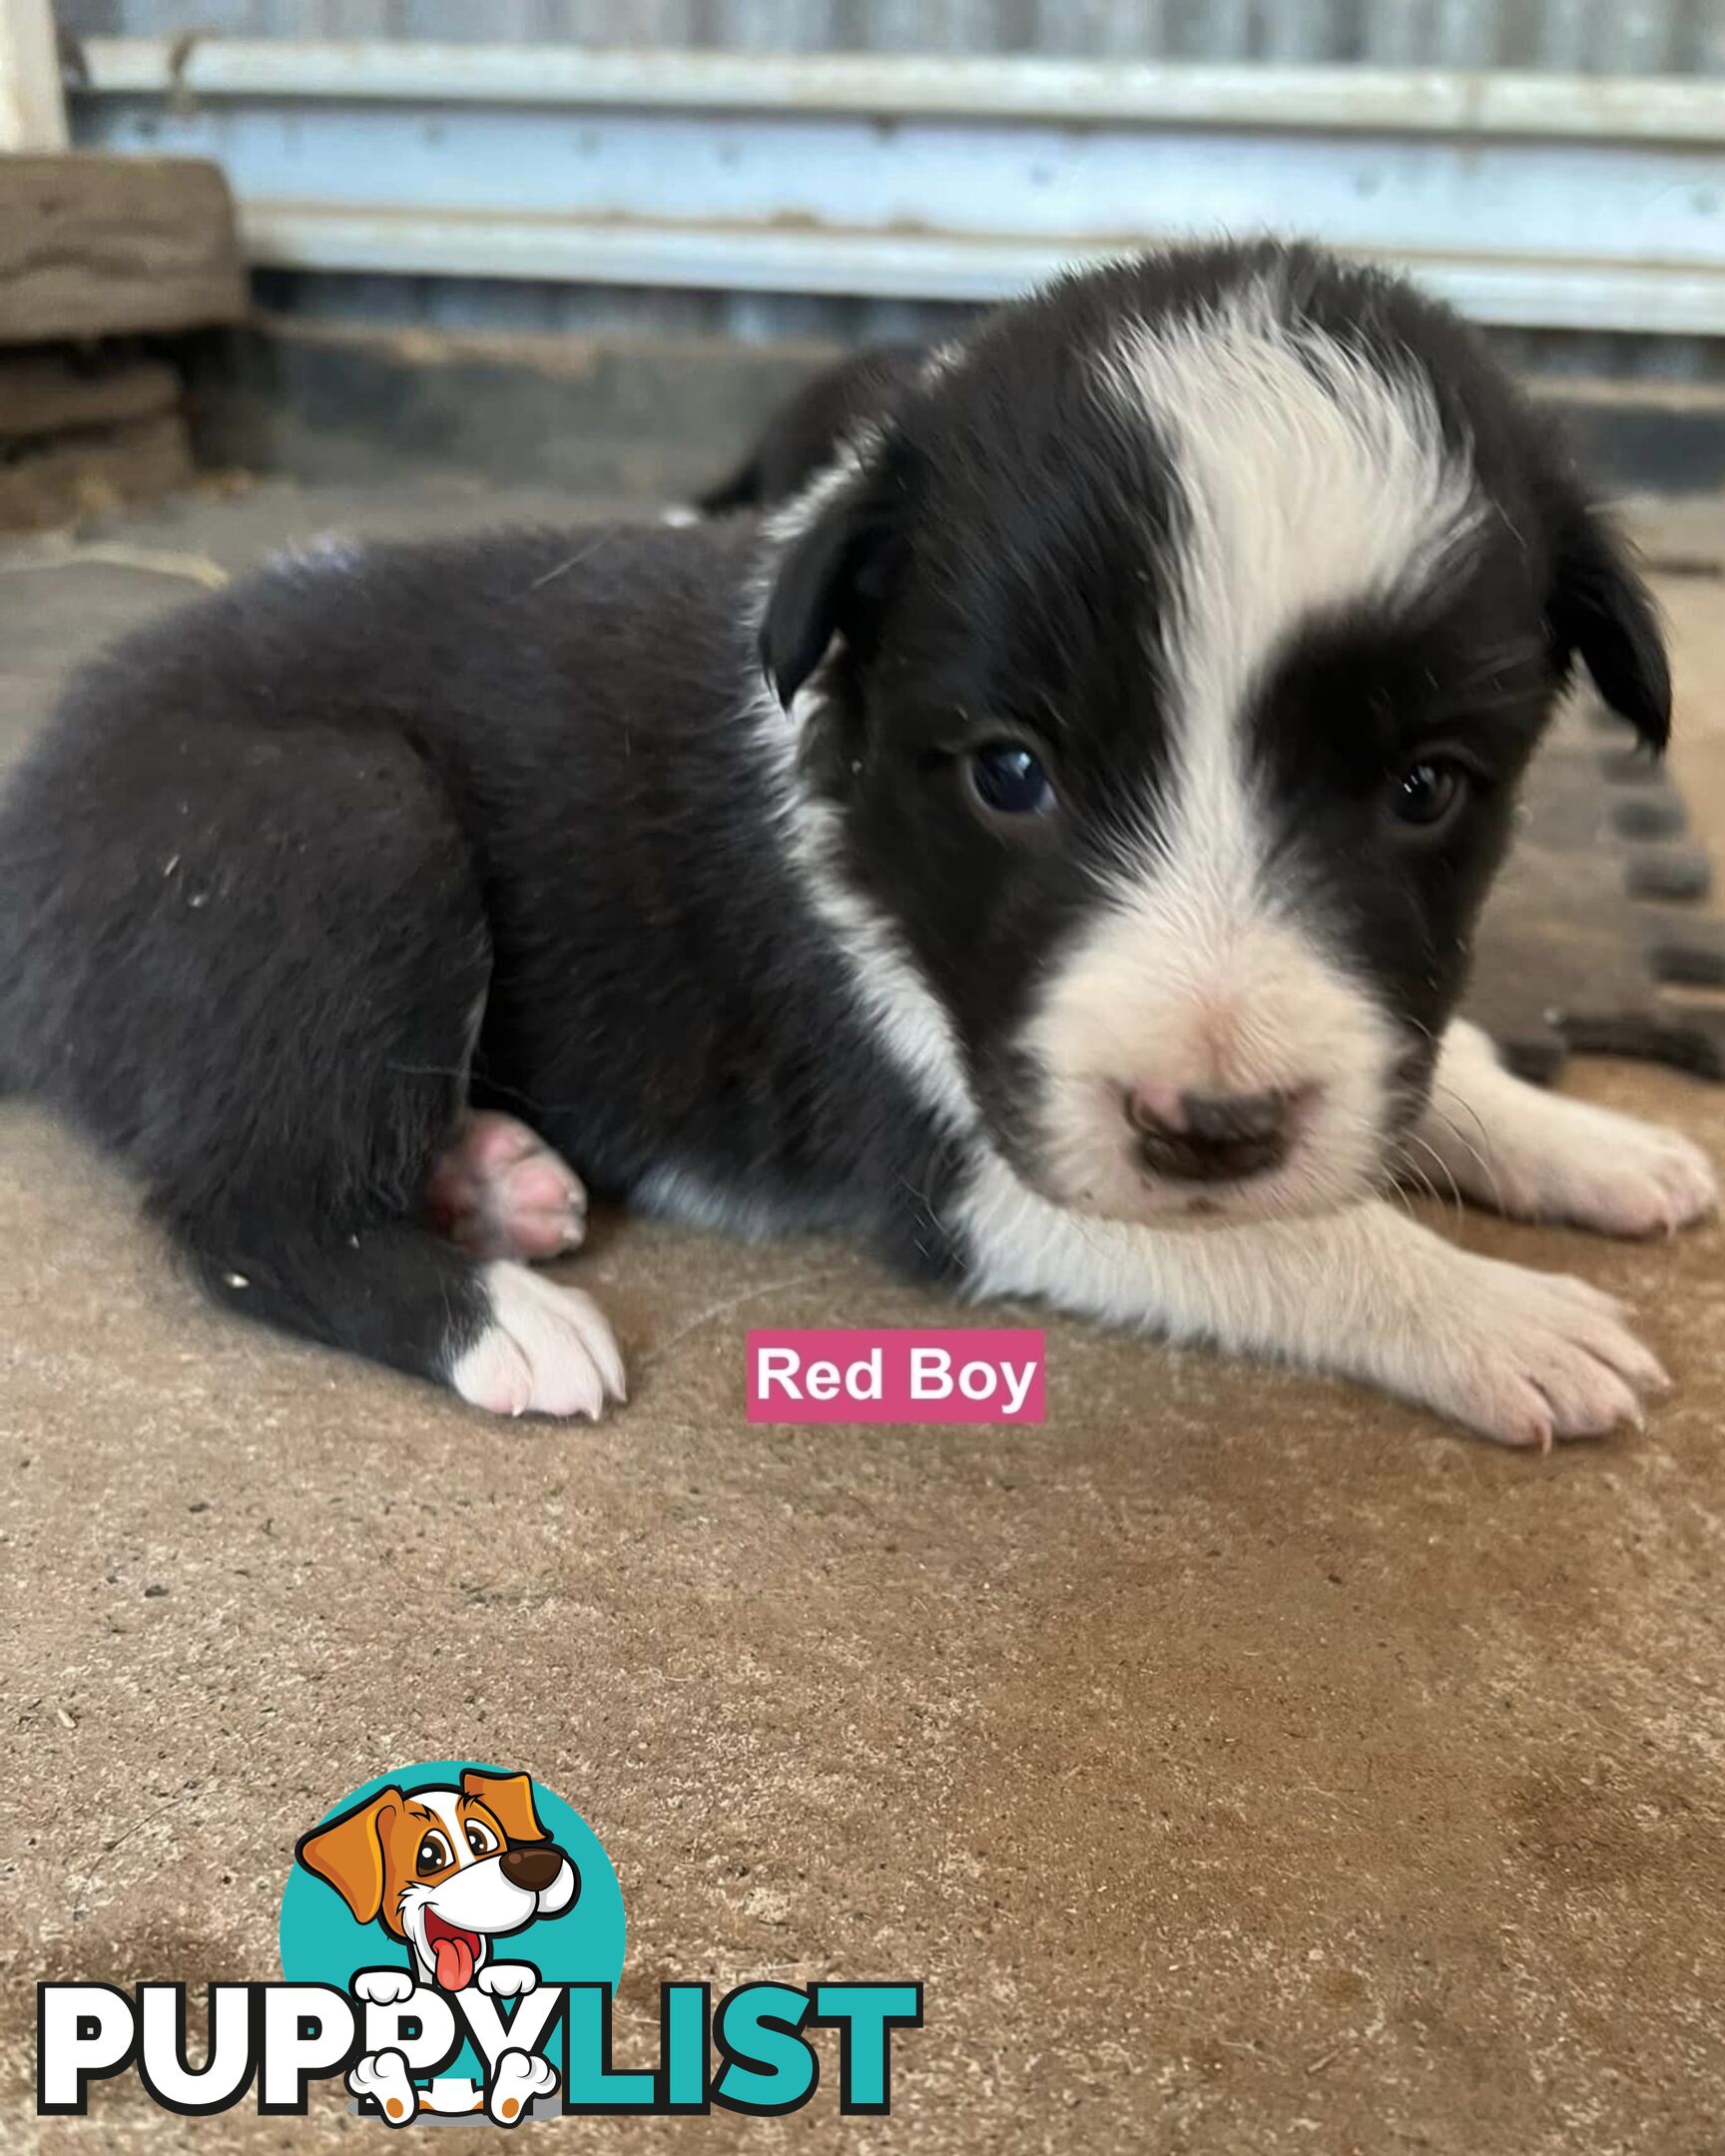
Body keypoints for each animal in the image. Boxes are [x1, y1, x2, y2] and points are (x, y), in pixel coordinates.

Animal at [0, 245, 1707, 1439]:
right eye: (1010, 774)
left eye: (1424, 791)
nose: (1210, 1130)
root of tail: (35, 810)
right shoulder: (979, 1162)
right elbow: (1301, 1244)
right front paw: (1501, 1319)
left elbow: (1429, 1073)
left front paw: (1587, 1141)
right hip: (334, 824)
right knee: (242, 1202)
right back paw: (493, 1313)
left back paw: (492, 1174)